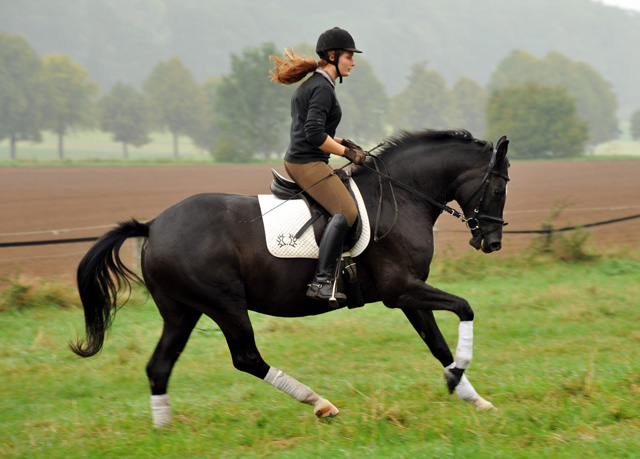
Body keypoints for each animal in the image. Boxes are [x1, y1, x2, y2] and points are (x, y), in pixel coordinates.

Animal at [71, 128, 510, 428]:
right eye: (500, 189)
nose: (492, 243)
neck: (401, 197)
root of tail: (154, 225)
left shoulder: (410, 294)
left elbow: (437, 344)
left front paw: (470, 395)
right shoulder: (401, 290)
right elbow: (464, 309)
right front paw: (460, 374)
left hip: (182, 312)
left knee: (159, 367)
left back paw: (164, 430)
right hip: (225, 305)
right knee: (246, 358)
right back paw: (320, 403)